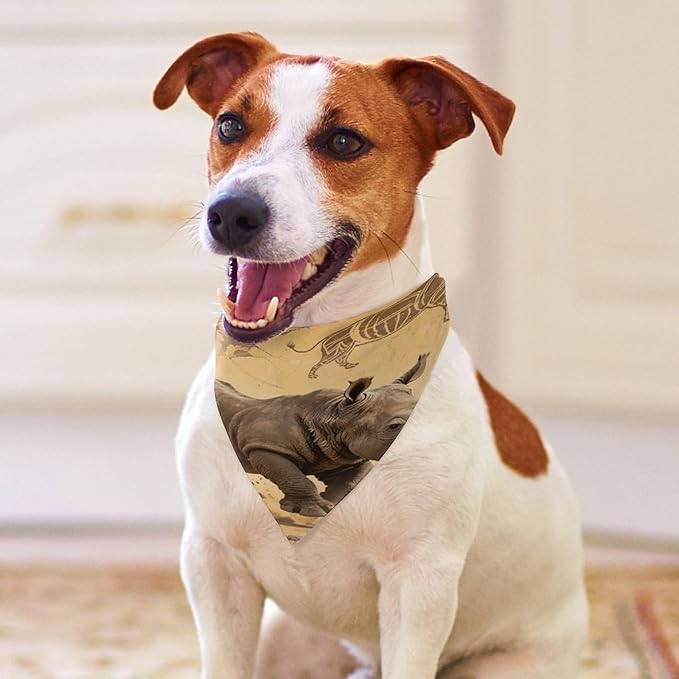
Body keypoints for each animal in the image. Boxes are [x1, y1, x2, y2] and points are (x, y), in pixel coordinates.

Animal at [215, 353, 429, 517]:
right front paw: (314, 510)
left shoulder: (340, 457)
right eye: (394, 426)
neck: (331, 415)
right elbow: (293, 475)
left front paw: (331, 506)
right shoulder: (262, 444)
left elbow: (352, 479)